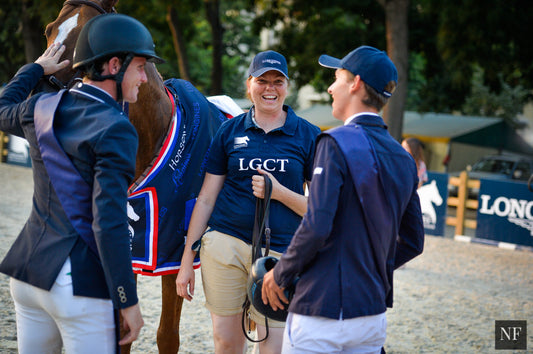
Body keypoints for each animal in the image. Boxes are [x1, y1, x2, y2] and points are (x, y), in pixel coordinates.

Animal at [42, 1, 238, 352]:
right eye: (49, 29)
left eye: (86, 33)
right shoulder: (126, 250)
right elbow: (122, 330)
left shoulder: (175, 258)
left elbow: (167, 335)